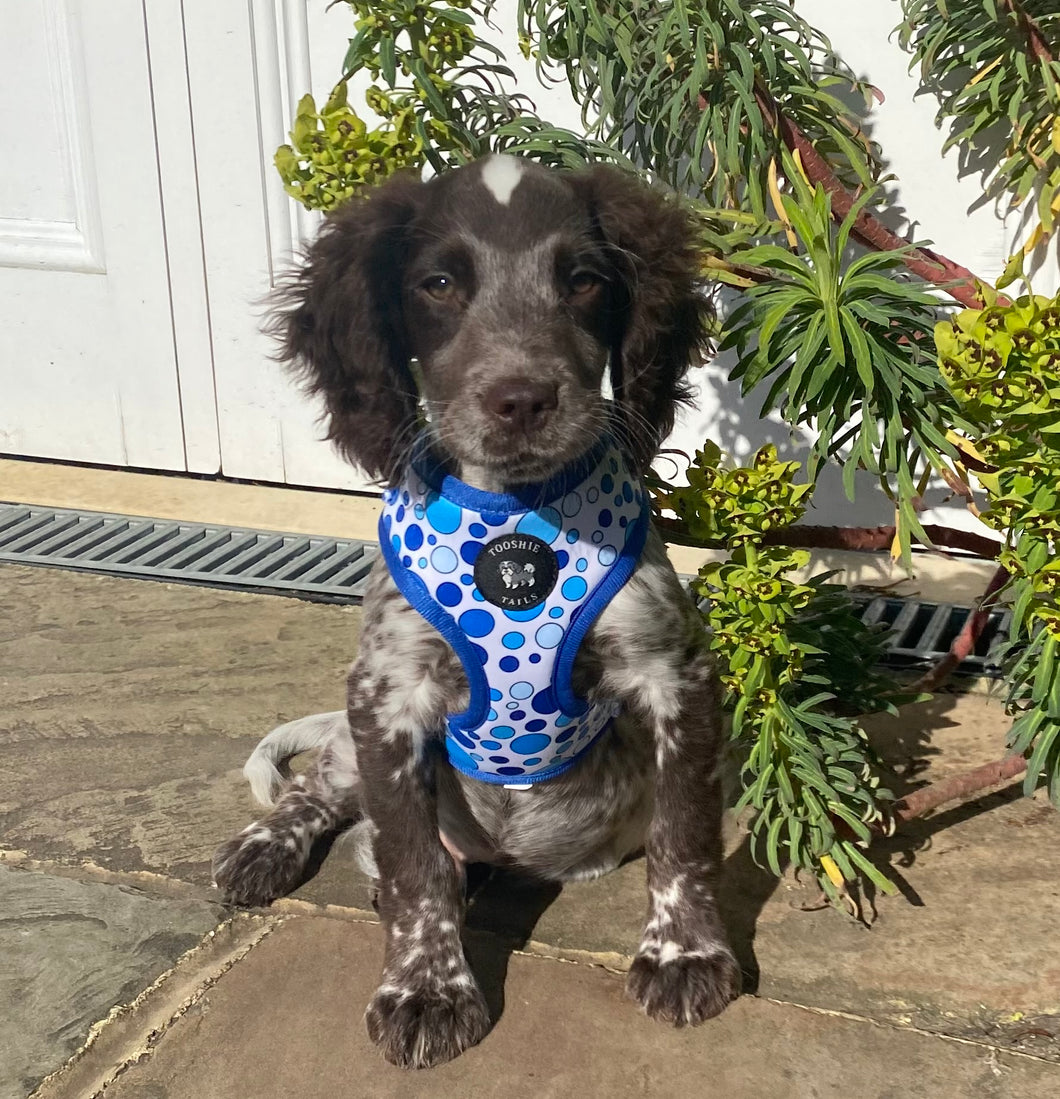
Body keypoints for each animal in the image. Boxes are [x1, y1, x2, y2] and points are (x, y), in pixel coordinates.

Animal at [210, 152, 742, 1063]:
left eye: (584, 280)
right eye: (438, 283)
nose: (522, 398)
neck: (515, 513)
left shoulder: (674, 674)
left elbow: (685, 831)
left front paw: (684, 951)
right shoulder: (385, 697)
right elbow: (414, 862)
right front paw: (424, 985)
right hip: (351, 744)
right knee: (323, 798)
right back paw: (265, 846)